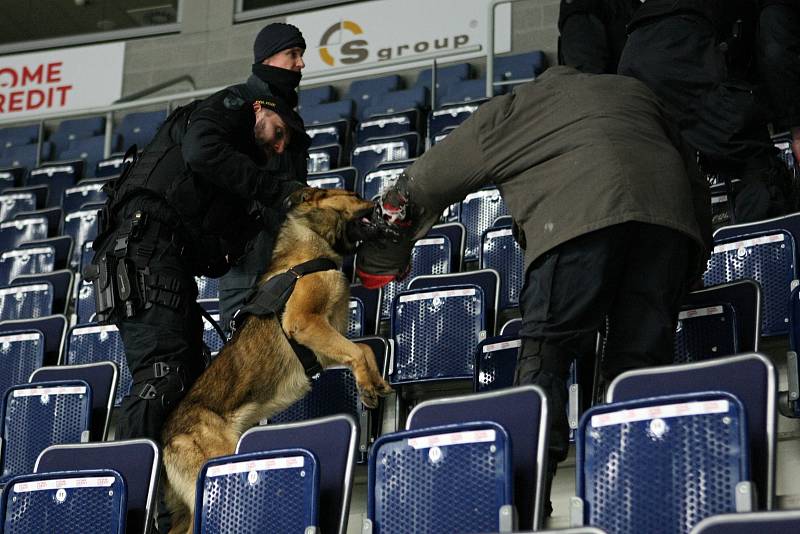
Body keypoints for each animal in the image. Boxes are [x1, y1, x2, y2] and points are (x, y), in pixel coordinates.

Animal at [162, 187, 394, 532]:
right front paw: (366, 385)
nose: (382, 201)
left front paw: (375, 381)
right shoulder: (305, 324)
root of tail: (166, 437)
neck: (312, 239)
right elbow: (356, 352)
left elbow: (363, 351)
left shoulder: (322, 343)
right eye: (353, 195)